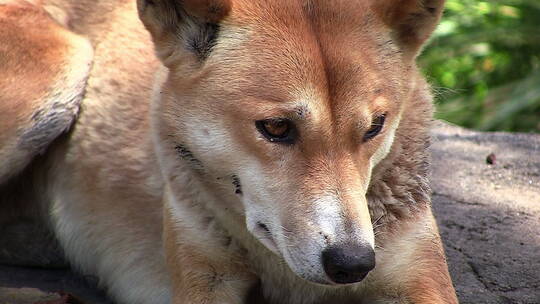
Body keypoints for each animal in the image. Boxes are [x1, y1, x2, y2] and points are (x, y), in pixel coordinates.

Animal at [1, 0, 460, 302]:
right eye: (276, 127)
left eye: (375, 126)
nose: (353, 263)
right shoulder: (204, 277)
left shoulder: (419, 281)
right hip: (60, 74)